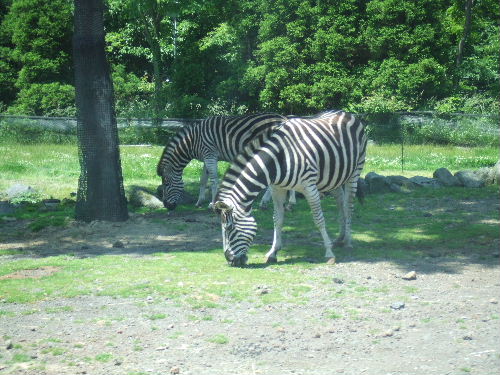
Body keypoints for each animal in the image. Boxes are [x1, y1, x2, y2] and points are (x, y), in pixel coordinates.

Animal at [156, 111, 290, 212]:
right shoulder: (206, 157)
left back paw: (265, 202)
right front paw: (199, 202)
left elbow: (214, 180)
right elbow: (203, 180)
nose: (167, 206)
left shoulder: (210, 155)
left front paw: (212, 204)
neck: (192, 141)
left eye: (166, 184)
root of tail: (283, 118)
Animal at [213, 111, 366, 268]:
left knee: (348, 206)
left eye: (229, 228)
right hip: (332, 178)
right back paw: (340, 237)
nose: (231, 261)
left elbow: (319, 219)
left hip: (355, 172)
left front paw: (329, 253)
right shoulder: (277, 188)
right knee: (340, 201)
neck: (281, 158)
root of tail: (345, 113)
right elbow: (277, 219)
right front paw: (272, 253)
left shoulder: (309, 187)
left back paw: (347, 241)